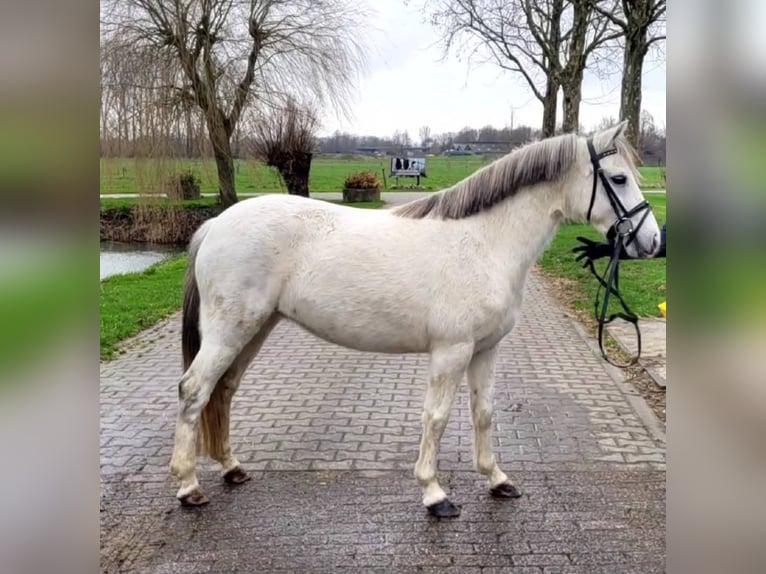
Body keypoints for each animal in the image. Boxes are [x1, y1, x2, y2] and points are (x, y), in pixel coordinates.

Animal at [170, 121, 660, 516]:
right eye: (618, 178)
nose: (653, 241)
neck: (484, 242)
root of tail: (214, 225)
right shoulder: (451, 351)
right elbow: (436, 417)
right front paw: (435, 494)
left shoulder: (485, 350)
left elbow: (483, 412)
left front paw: (497, 479)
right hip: (229, 331)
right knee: (195, 390)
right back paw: (189, 486)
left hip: (253, 329)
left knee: (223, 391)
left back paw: (232, 468)